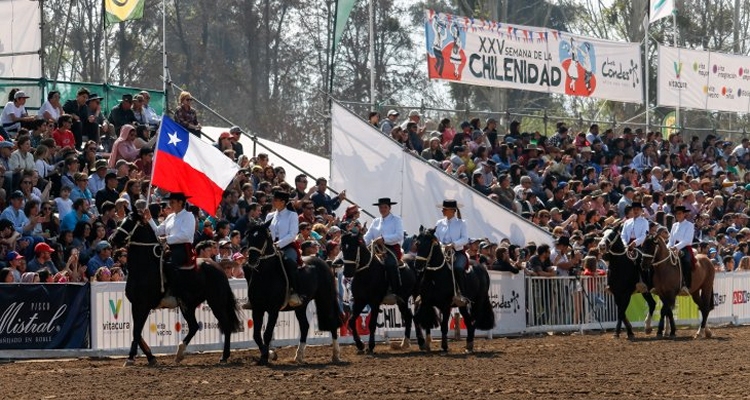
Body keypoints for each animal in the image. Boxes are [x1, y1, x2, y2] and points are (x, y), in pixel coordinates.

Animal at [109, 209, 241, 366]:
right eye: (120, 221)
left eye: (129, 222)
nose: (112, 239)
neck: (145, 267)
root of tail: (218, 267)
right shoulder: (136, 305)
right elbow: (137, 332)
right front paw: (151, 357)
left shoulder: (143, 305)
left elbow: (136, 332)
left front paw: (130, 358)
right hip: (188, 305)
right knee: (194, 326)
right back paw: (179, 353)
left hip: (216, 302)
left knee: (225, 325)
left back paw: (224, 356)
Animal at [245, 222, 342, 366]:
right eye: (249, 237)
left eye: (262, 237)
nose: (251, 260)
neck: (266, 275)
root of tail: (324, 262)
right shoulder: (257, 309)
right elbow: (256, 335)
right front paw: (269, 354)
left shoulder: (273, 310)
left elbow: (267, 334)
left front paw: (266, 357)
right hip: (301, 306)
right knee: (305, 326)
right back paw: (299, 356)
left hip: (325, 299)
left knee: (331, 322)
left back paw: (336, 355)